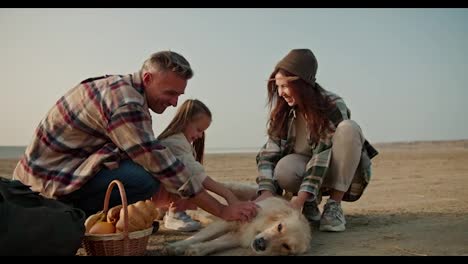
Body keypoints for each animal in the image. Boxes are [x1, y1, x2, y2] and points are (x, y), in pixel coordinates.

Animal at [164, 195, 310, 255]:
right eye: (280, 227)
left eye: (286, 246)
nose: (261, 244)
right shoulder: (231, 219)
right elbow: (199, 237)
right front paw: (176, 246)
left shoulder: (238, 237)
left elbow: (215, 244)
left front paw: (197, 249)